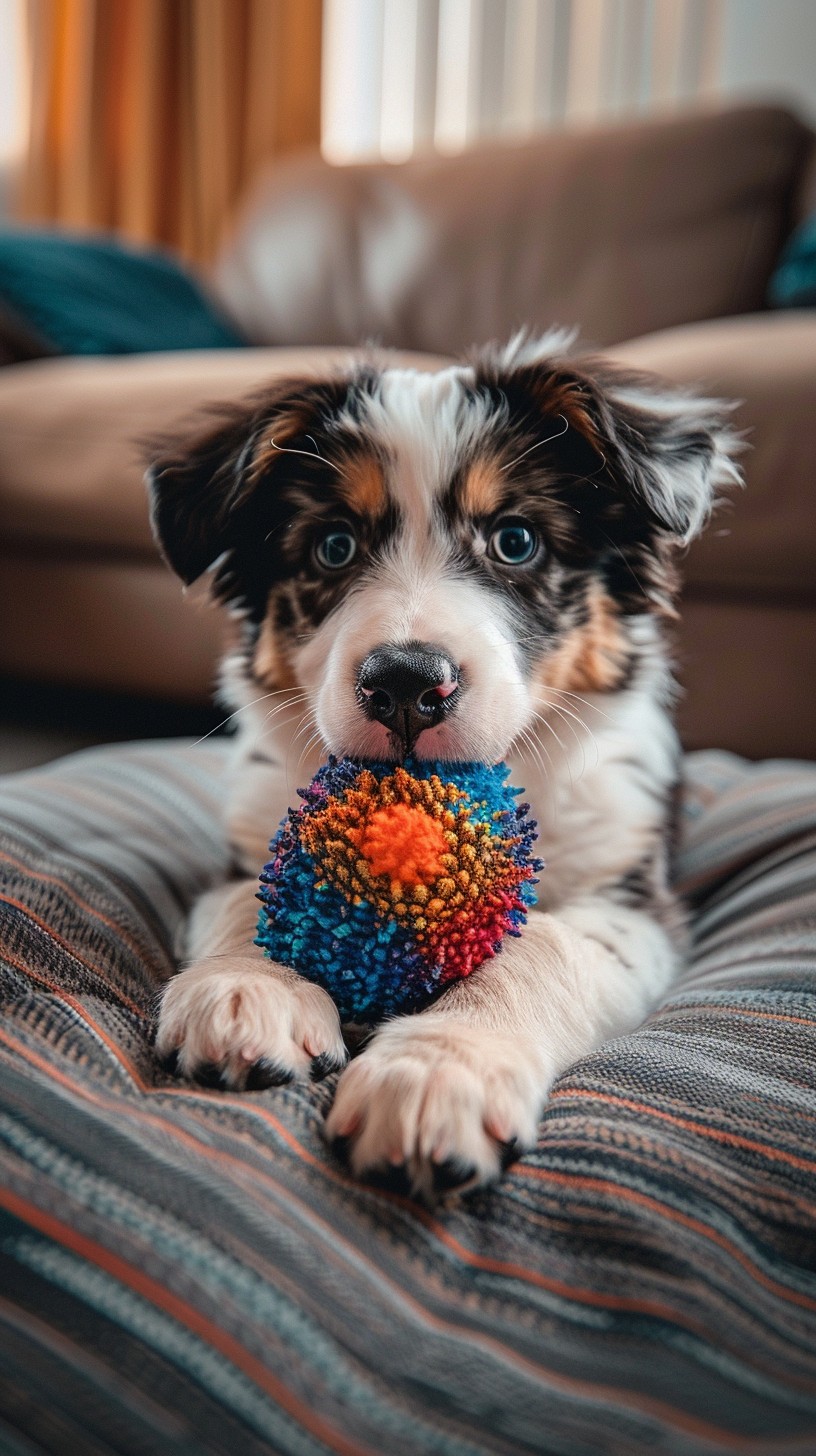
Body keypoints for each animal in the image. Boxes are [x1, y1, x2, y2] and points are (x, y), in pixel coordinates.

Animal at [146, 334, 740, 1199]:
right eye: (333, 546)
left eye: (516, 540)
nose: (404, 683)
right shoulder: (251, 833)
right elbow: (251, 894)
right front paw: (247, 989)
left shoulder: (633, 898)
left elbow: (543, 944)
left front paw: (435, 1074)